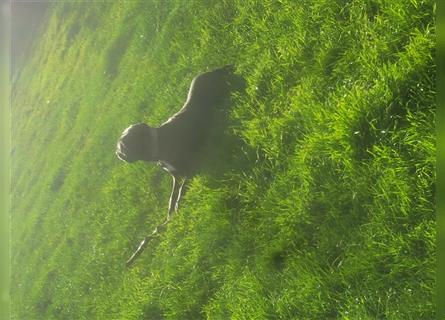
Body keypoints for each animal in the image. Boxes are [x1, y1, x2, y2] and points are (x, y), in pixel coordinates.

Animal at [116, 65, 238, 264]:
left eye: (126, 144)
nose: (119, 154)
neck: (158, 146)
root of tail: (216, 71)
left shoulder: (192, 168)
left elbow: (180, 193)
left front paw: (177, 207)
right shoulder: (176, 176)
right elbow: (171, 199)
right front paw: (168, 216)